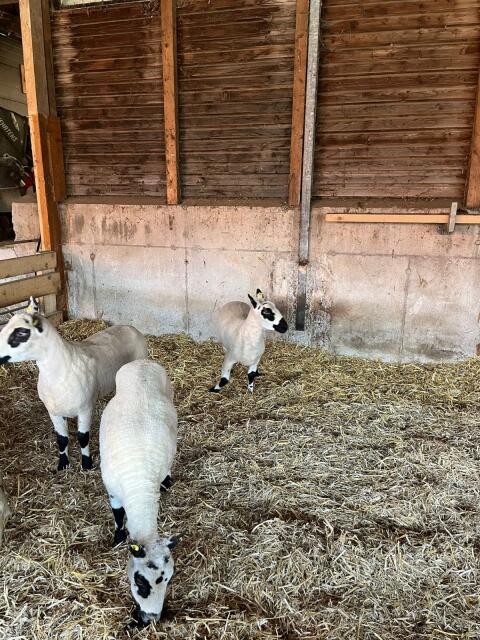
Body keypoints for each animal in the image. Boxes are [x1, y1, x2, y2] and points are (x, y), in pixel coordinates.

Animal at [0, 304, 147, 471]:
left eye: (21, 332)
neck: (60, 372)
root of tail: (130, 327)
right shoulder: (53, 412)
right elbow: (62, 439)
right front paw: (63, 463)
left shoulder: (85, 409)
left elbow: (83, 437)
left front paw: (87, 464)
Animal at [99, 358, 179, 625]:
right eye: (141, 582)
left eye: (169, 580)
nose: (151, 618)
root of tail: (142, 361)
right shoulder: (113, 491)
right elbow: (117, 515)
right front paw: (117, 537)